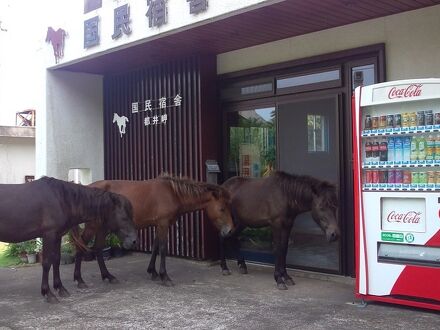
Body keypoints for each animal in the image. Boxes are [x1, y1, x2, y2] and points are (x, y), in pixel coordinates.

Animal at [0, 177, 137, 302]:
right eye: (124, 217)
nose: (134, 240)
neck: (60, 198)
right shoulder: (49, 235)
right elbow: (46, 263)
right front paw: (48, 293)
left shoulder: (57, 236)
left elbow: (56, 260)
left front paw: (60, 288)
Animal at [72, 175, 234, 286]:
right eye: (222, 208)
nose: (230, 230)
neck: (172, 193)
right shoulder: (163, 223)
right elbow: (162, 248)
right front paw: (164, 276)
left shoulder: (158, 225)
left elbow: (155, 247)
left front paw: (153, 272)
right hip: (93, 226)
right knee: (81, 245)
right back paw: (79, 280)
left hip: (103, 227)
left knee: (98, 249)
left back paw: (108, 276)